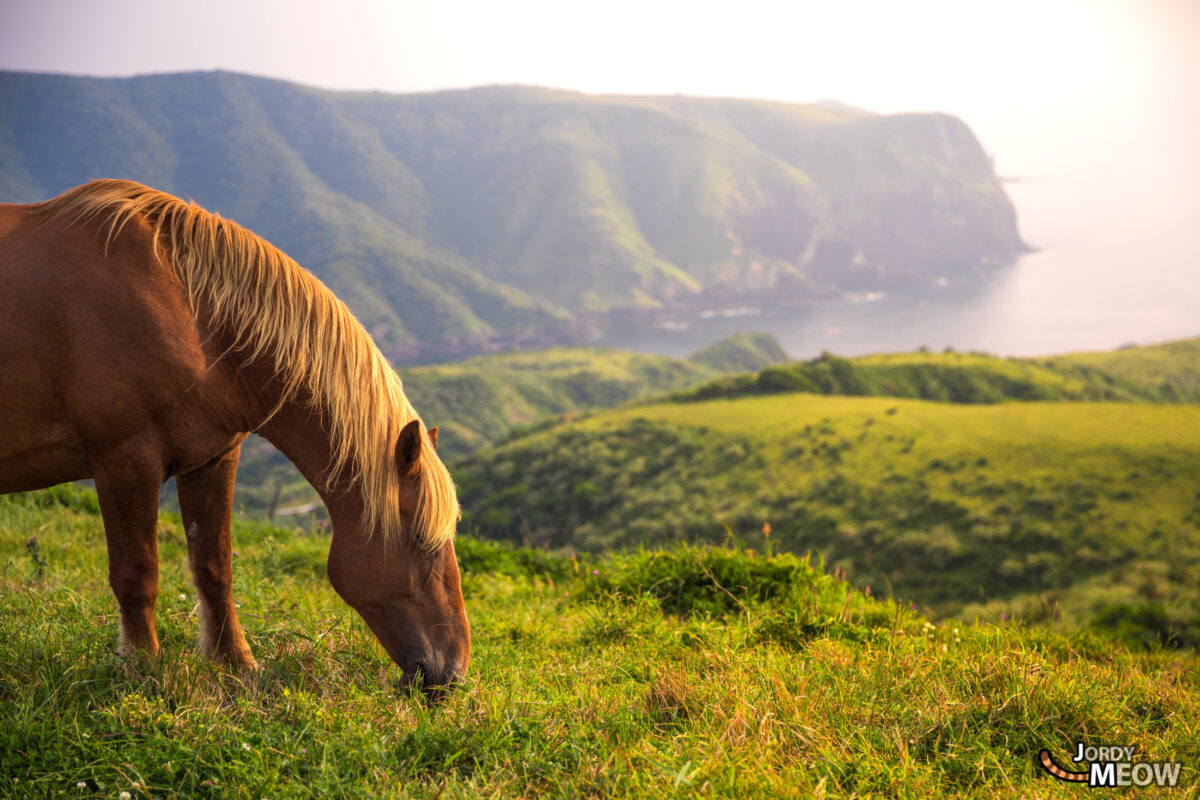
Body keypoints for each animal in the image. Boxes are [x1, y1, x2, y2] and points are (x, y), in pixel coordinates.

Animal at [0, 178, 468, 690]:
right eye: (422, 541)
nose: (454, 672)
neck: (189, 313)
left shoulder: (212, 458)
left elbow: (214, 567)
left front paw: (236, 663)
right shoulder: (124, 461)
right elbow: (137, 573)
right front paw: (143, 670)